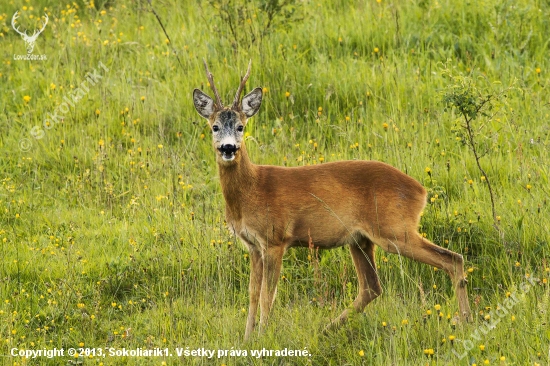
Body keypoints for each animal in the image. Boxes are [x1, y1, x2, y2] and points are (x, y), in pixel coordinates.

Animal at [192, 60, 472, 340]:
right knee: (372, 287)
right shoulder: (253, 245)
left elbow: (266, 296)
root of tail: (421, 191)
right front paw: (248, 339)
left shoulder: (274, 239)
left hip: (394, 229)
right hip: (361, 239)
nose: (229, 148)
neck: (251, 190)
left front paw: (262, 337)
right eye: (214, 127)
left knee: (452, 259)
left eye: (241, 126)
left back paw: (465, 321)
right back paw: (325, 330)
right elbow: (251, 295)